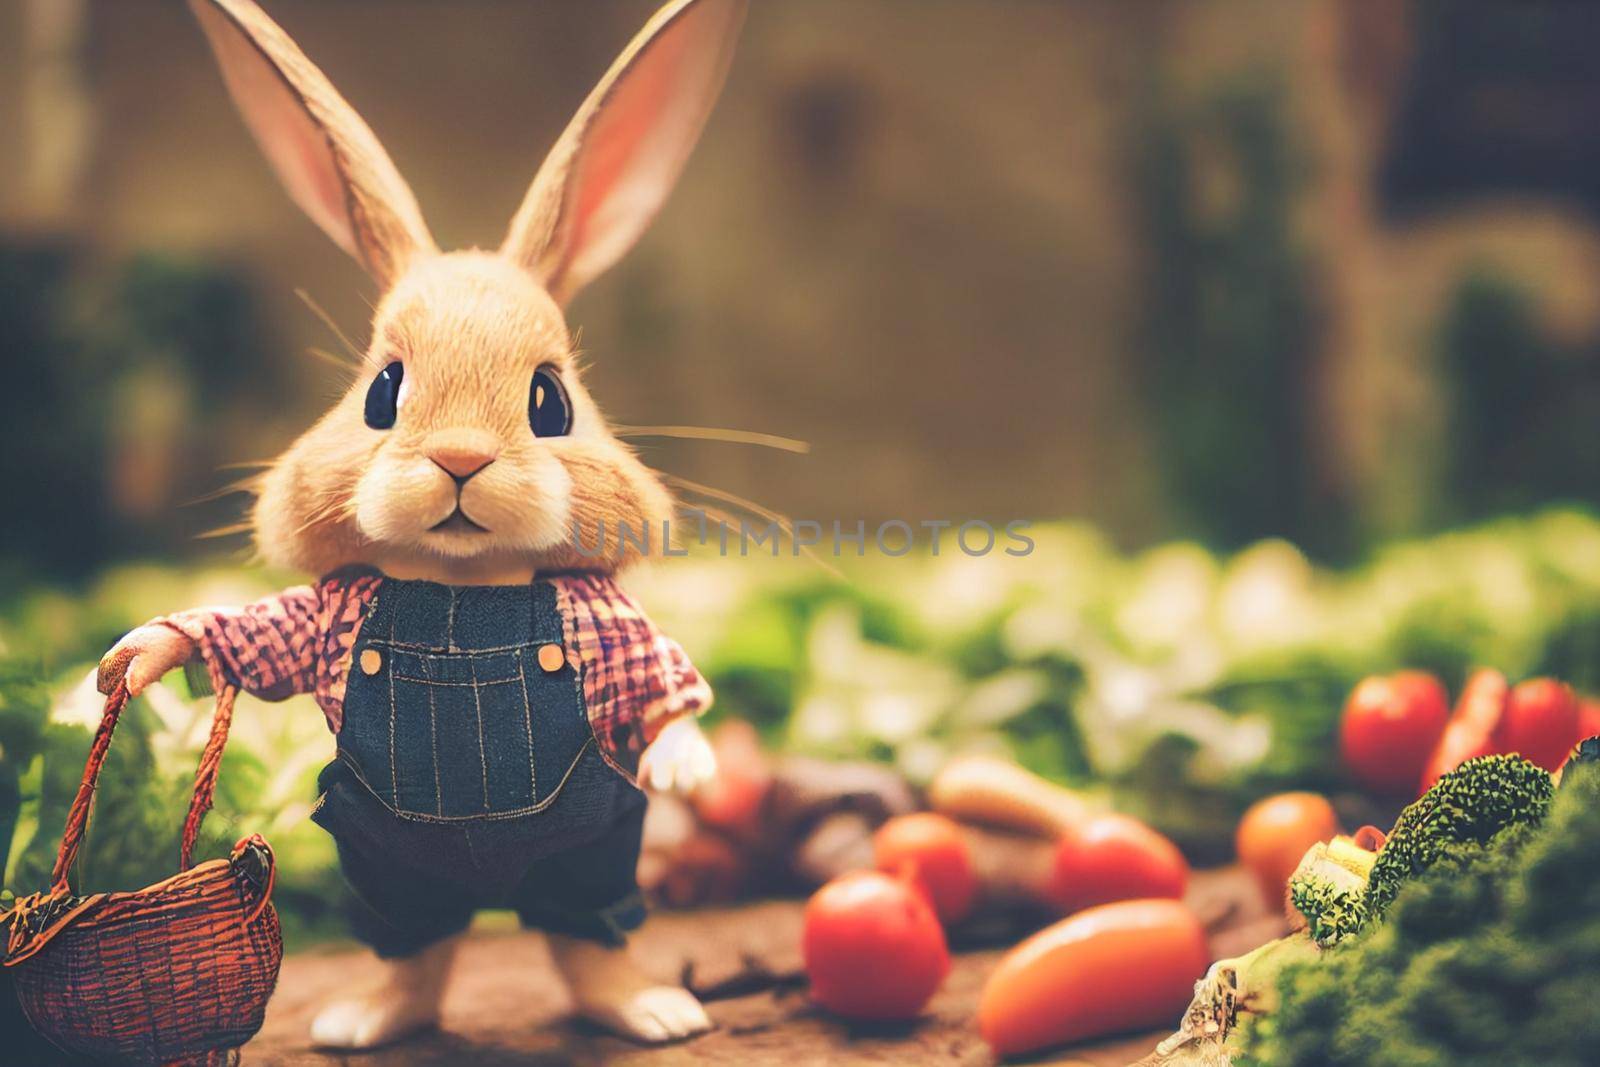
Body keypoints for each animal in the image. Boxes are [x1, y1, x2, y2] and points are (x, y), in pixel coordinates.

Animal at [96, 0, 745, 1049]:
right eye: (382, 392)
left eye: (551, 401)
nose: (460, 458)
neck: (463, 592)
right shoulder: (323, 614)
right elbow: (239, 631)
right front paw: (133, 656)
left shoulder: (604, 619)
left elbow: (660, 673)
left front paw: (685, 759)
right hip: (389, 878)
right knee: (419, 941)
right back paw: (363, 1022)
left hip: (595, 859)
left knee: (582, 928)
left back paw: (650, 1011)